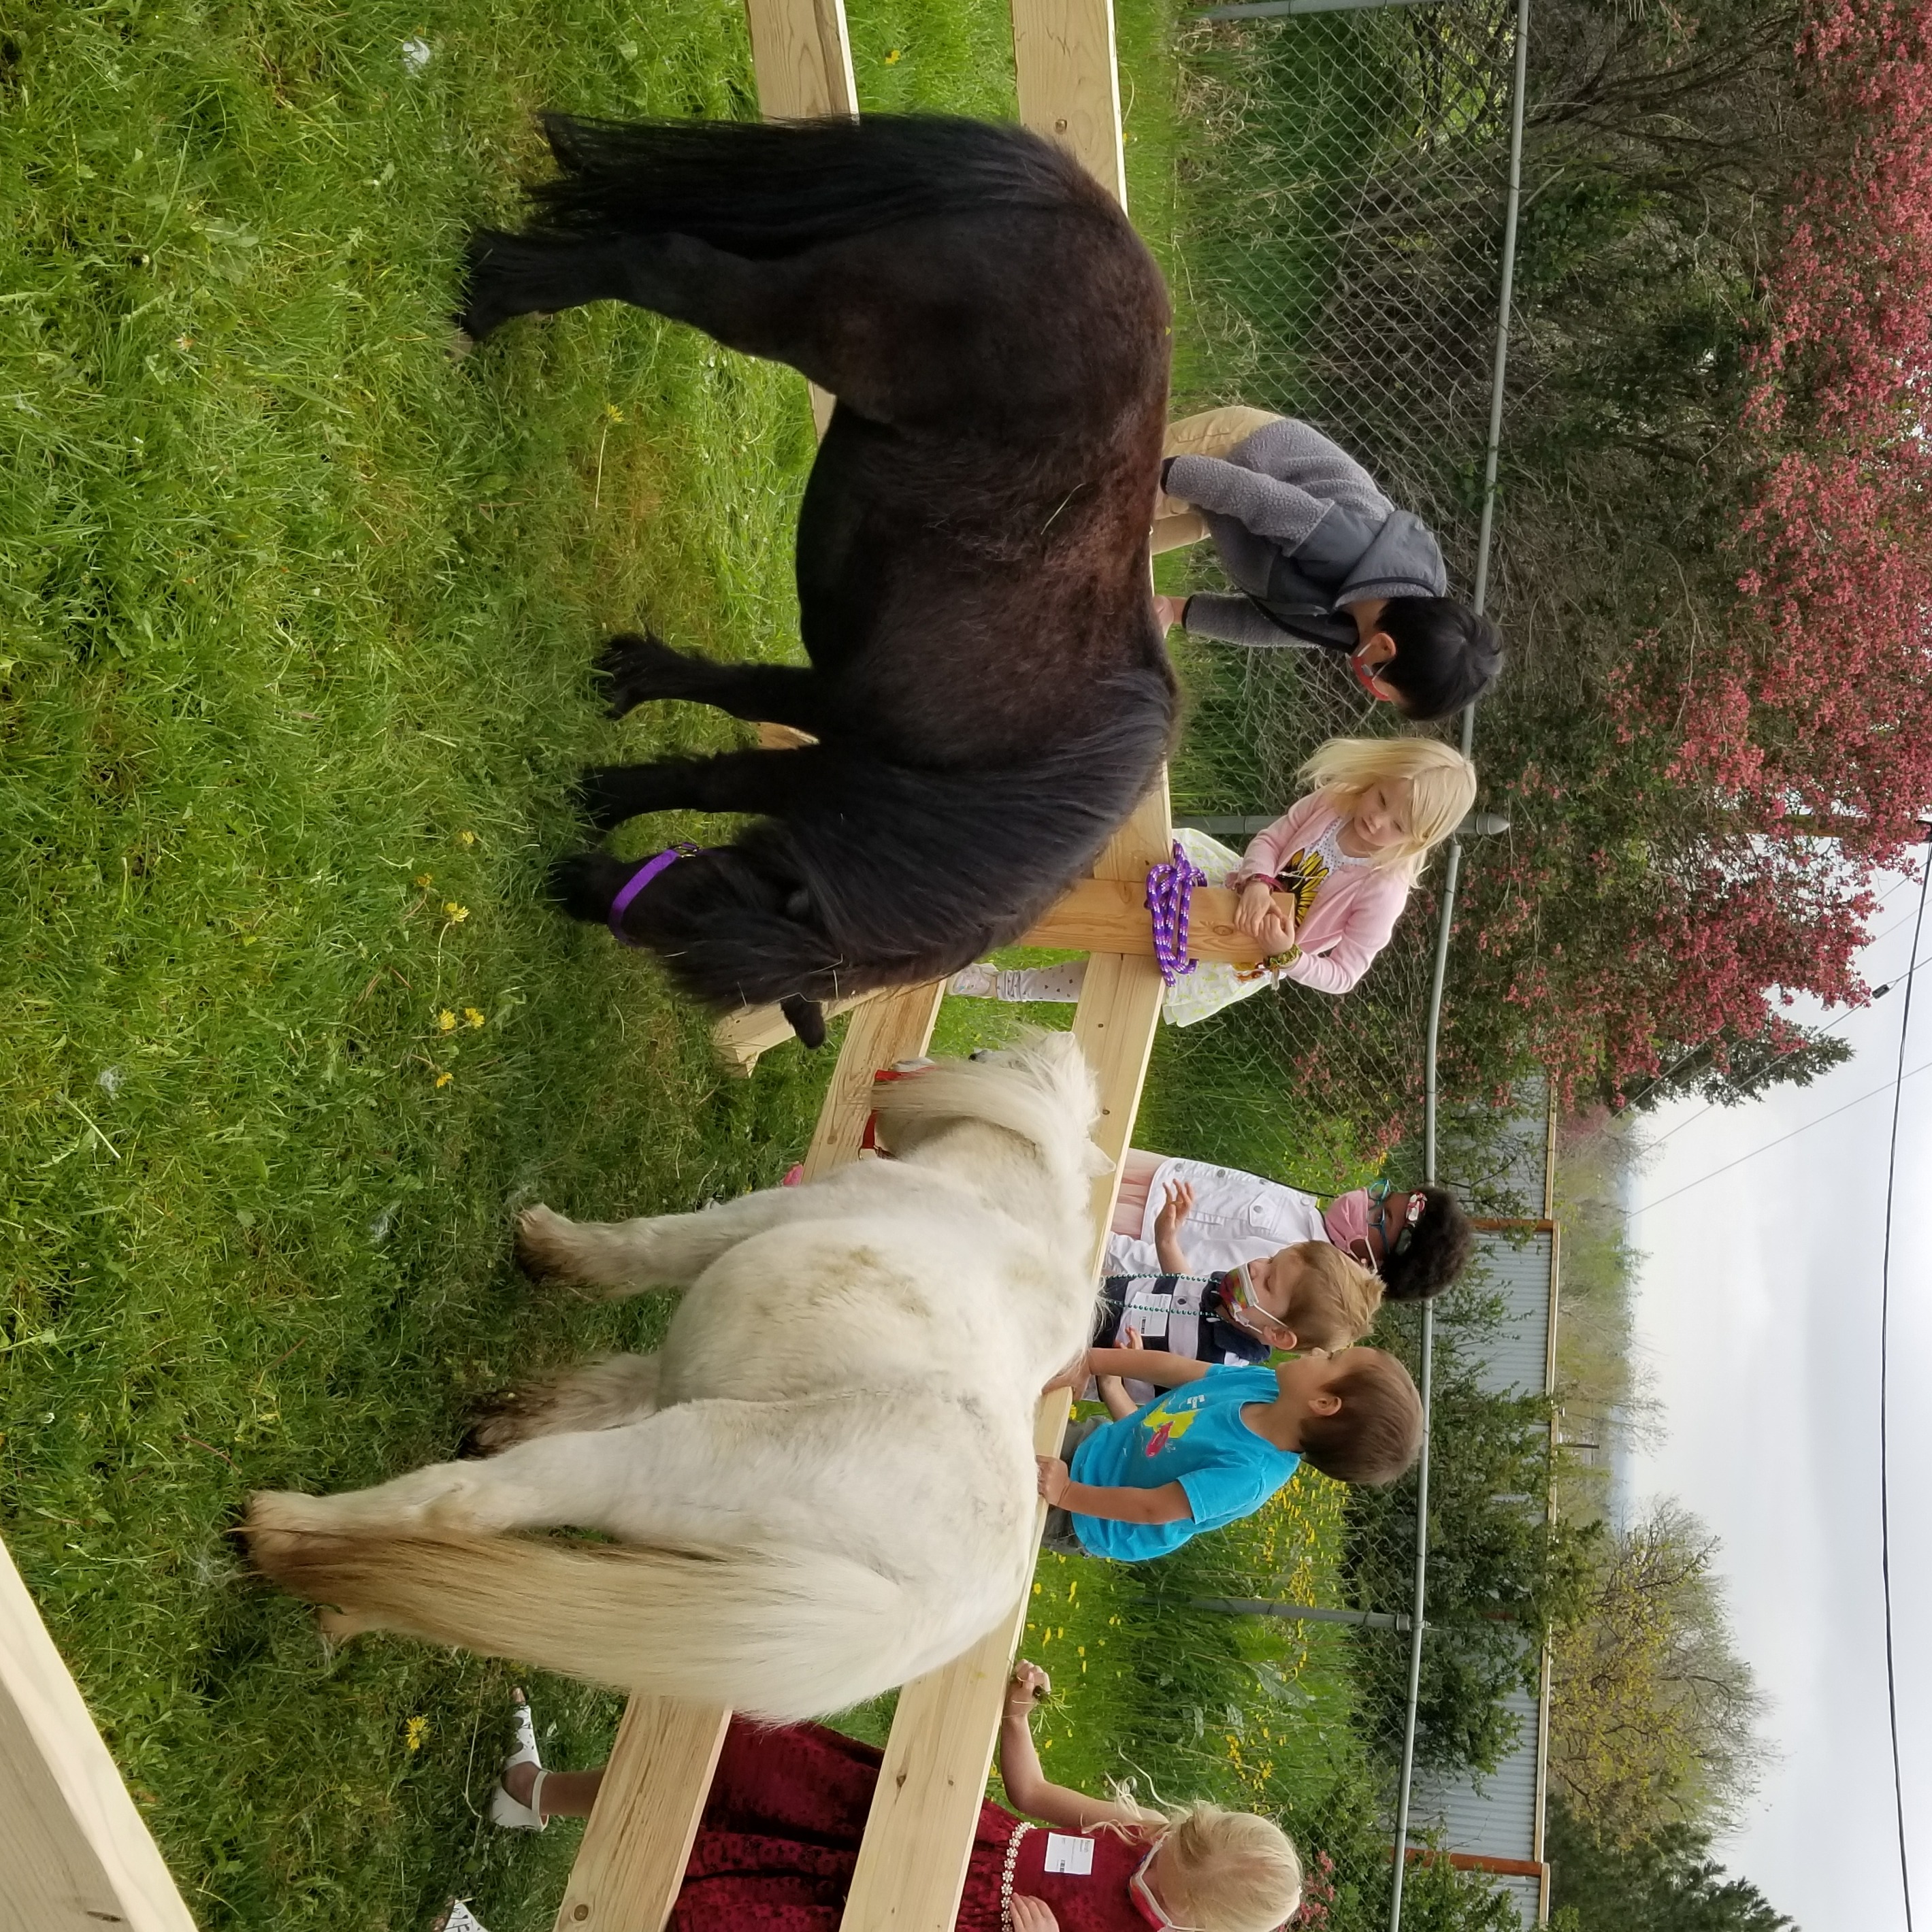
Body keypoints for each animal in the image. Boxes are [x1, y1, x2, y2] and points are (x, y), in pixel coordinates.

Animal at [242, 1034, 1105, 1715]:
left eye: (977, 1057)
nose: (900, 1069)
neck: (987, 1198)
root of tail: (929, 1609)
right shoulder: (680, 1362)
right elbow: (608, 1387)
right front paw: (509, 1414)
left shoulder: (728, 1230)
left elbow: (637, 1250)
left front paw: (545, 1247)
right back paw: (342, 1601)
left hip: (662, 1461)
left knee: (464, 1508)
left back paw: (285, 1525)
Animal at [459, 113, 1176, 1045]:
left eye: (695, 893)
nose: (569, 887)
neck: (1005, 782)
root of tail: (1084, 211)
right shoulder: (832, 737)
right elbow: (732, 734)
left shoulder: (833, 737)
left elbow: (721, 742)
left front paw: (621, 725)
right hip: (810, 316)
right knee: (665, 264)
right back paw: (496, 291)